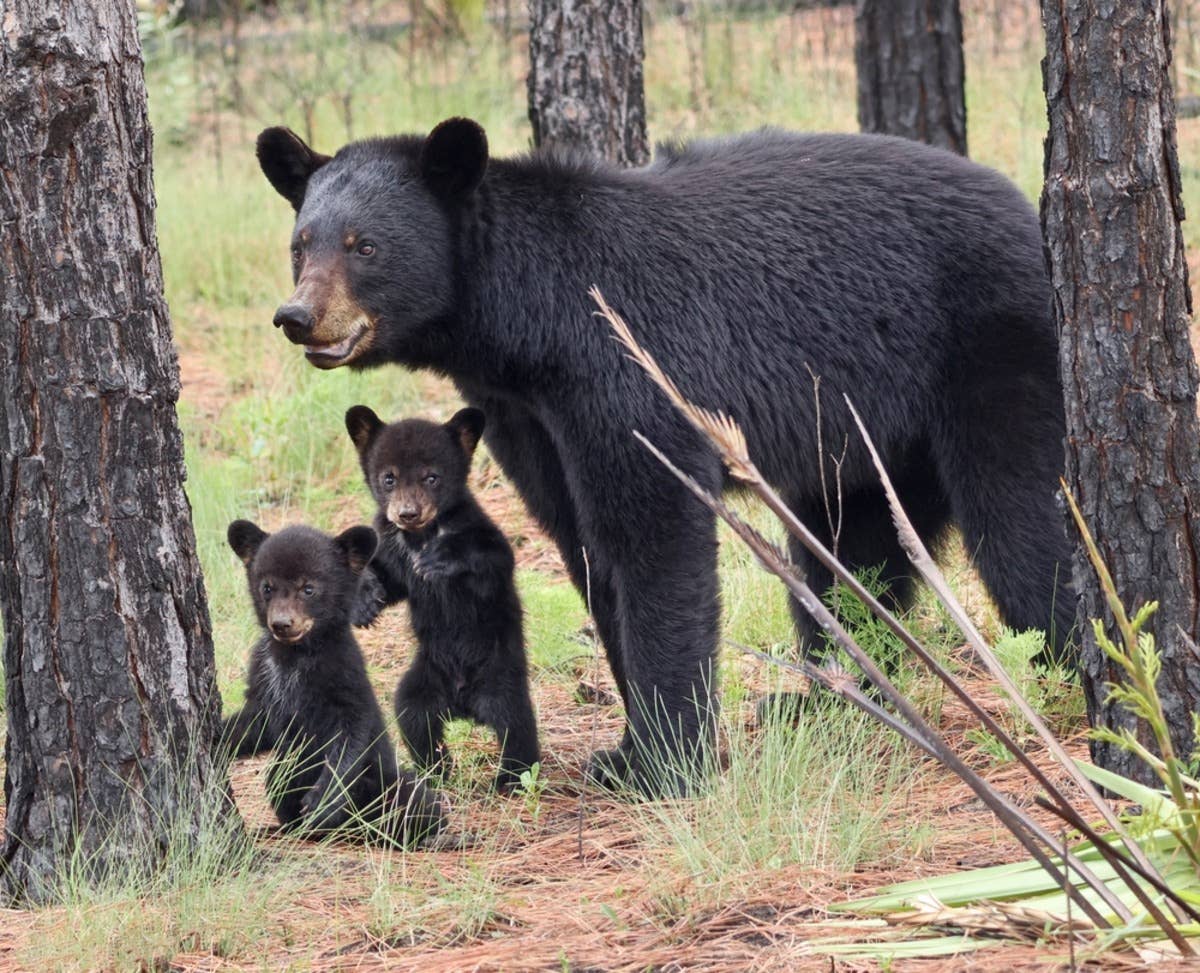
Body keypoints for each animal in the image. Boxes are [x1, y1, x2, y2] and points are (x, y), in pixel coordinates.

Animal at [222, 519, 446, 845]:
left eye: (308, 588)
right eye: (267, 587)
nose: (282, 623)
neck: (296, 654)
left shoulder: (343, 673)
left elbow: (351, 732)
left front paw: (321, 801)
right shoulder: (264, 675)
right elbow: (255, 723)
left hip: (384, 783)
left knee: (416, 800)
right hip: (285, 771)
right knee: (278, 783)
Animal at [345, 404, 540, 791]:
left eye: (432, 477)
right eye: (389, 478)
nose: (408, 513)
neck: (420, 535)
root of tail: (464, 703)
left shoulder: (479, 532)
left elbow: (495, 558)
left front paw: (439, 559)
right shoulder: (393, 547)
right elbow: (388, 578)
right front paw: (364, 603)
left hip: (501, 678)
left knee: (516, 725)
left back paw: (510, 779)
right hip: (424, 679)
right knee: (413, 717)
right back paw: (435, 772)